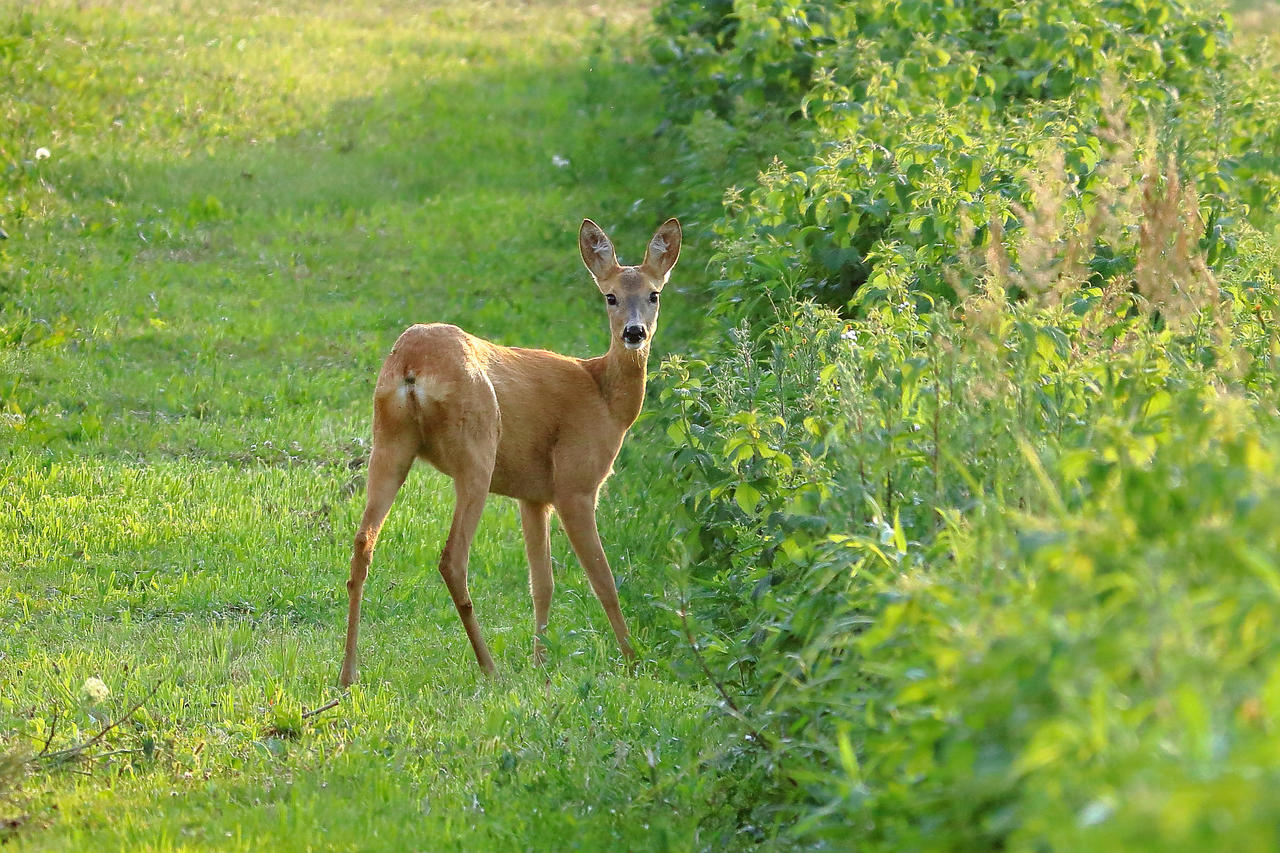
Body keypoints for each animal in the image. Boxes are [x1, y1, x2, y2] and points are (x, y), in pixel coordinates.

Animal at [337, 216, 680, 681]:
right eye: (609, 296)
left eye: (653, 294)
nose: (634, 332)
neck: (605, 397)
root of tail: (413, 367)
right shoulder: (575, 483)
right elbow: (603, 580)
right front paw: (633, 661)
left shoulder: (533, 496)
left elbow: (543, 584)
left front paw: (541, 664)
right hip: (477, 449)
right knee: (452, 559)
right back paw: (489, 669)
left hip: (388, 441)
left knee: (363, 543)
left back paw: (348, 674)